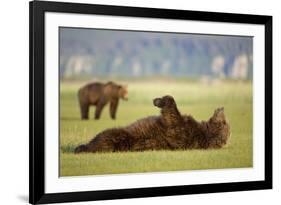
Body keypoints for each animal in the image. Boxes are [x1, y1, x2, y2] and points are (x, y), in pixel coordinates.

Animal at [74, 95, 230, 153]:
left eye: (224, 122)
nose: (221, 108)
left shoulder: (181, 131)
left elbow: (172, 115)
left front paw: (158, 100)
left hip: (121, 137)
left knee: (105, 137)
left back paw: (81, 147)